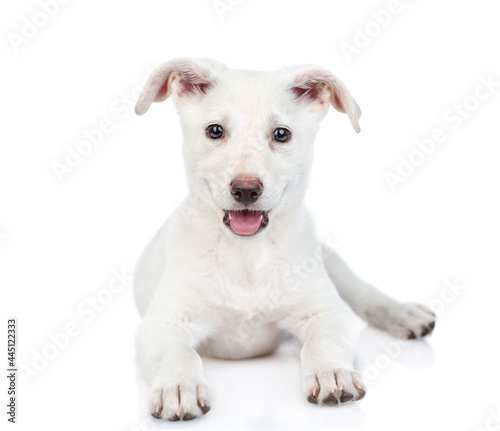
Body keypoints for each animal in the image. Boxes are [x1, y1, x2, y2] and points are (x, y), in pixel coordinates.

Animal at [132, 59, 434, 424]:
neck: (245, 252)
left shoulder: (327, 312)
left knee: (364, 295)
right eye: (215, 131)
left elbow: (324, 340)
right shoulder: (161, 323)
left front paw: (331, 373)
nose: (246, 190)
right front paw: (178, 385)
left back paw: (404, 314)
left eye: (281, 134)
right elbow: (176, 352)